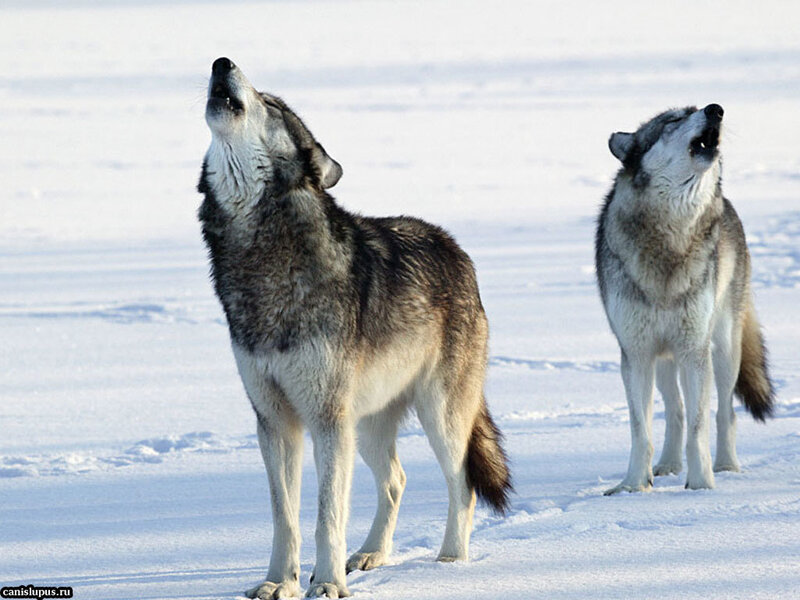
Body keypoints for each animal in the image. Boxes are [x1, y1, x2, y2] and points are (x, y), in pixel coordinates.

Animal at [197, 58, 511, 598]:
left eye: (270, 103)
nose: (222, 62)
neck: (260, 252)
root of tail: (455, 248)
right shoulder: (275, 422)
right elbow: (285, 517)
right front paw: (278, 582)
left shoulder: (327, 421)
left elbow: (327, 515)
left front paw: (326, 584)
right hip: (365, 427)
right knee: (397, 480)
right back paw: (371, 555)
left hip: (436, 417)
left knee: (463, 484)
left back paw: (449, 564)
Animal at [595, 103, 774, 495]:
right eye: (674, 120)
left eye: (696, 109)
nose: (715, 109)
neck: (671, 238)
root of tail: (728, 205)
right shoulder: (636, 354)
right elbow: (640, 429)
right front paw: (633, 486)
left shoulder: (694, 352)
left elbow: (699, 425)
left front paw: (702, 485)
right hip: (664, 358)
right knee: (674, 409)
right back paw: (667, 465)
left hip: (723, 351)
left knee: (725, 411)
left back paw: (726, 465)